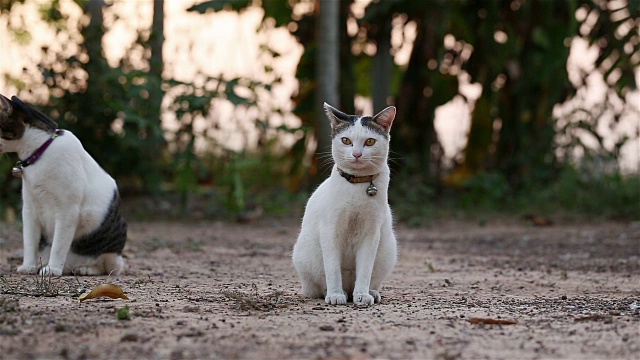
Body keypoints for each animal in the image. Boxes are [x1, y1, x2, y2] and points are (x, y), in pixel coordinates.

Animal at [0, 93, 126, 276]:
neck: (41, 151)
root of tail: (70, 266)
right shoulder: (29, 208)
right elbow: (29, 242)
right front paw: (29, 266)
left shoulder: (67, 210)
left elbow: (59, 245)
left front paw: (52, 269)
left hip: (113, 246)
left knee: (111, 267)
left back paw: (85, 268)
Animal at [294, 102, 396, 306]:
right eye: (346, 141)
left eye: (370, 142)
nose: (356, 154)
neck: (358, 184)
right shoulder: (330, 231)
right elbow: (332, 268)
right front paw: (334, 294)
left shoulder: (371, 233)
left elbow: (365, 269)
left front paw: (362, 295)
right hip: (304, 255)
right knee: (316, 286)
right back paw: (333, 291)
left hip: (388, 250)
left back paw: (370, 292)